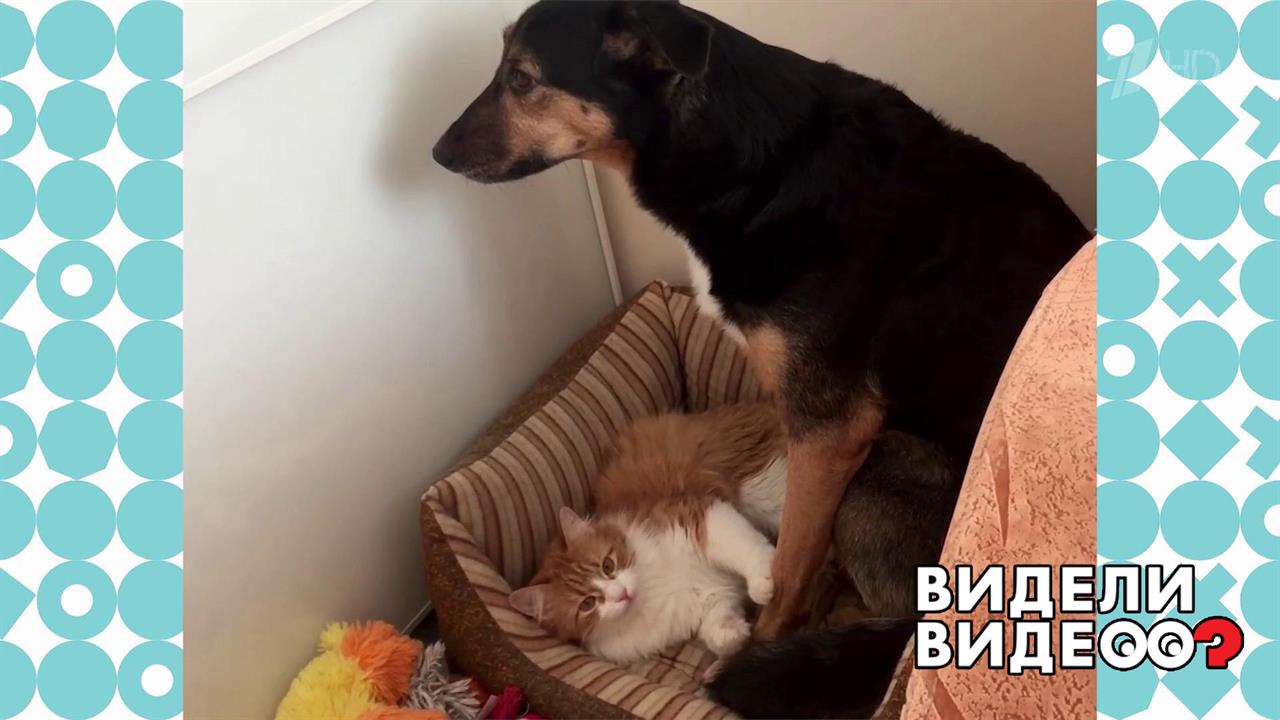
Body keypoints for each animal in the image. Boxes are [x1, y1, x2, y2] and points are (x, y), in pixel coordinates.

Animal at [507, 401, 788, 667]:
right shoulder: (713, 598)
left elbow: (744, 547)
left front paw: (763, 580)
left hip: (763, 493)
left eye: (608, 565)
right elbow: (718, 628)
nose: (621, 593)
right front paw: (735, 633)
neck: (655, 590)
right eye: (587, 604)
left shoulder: (701, 517)